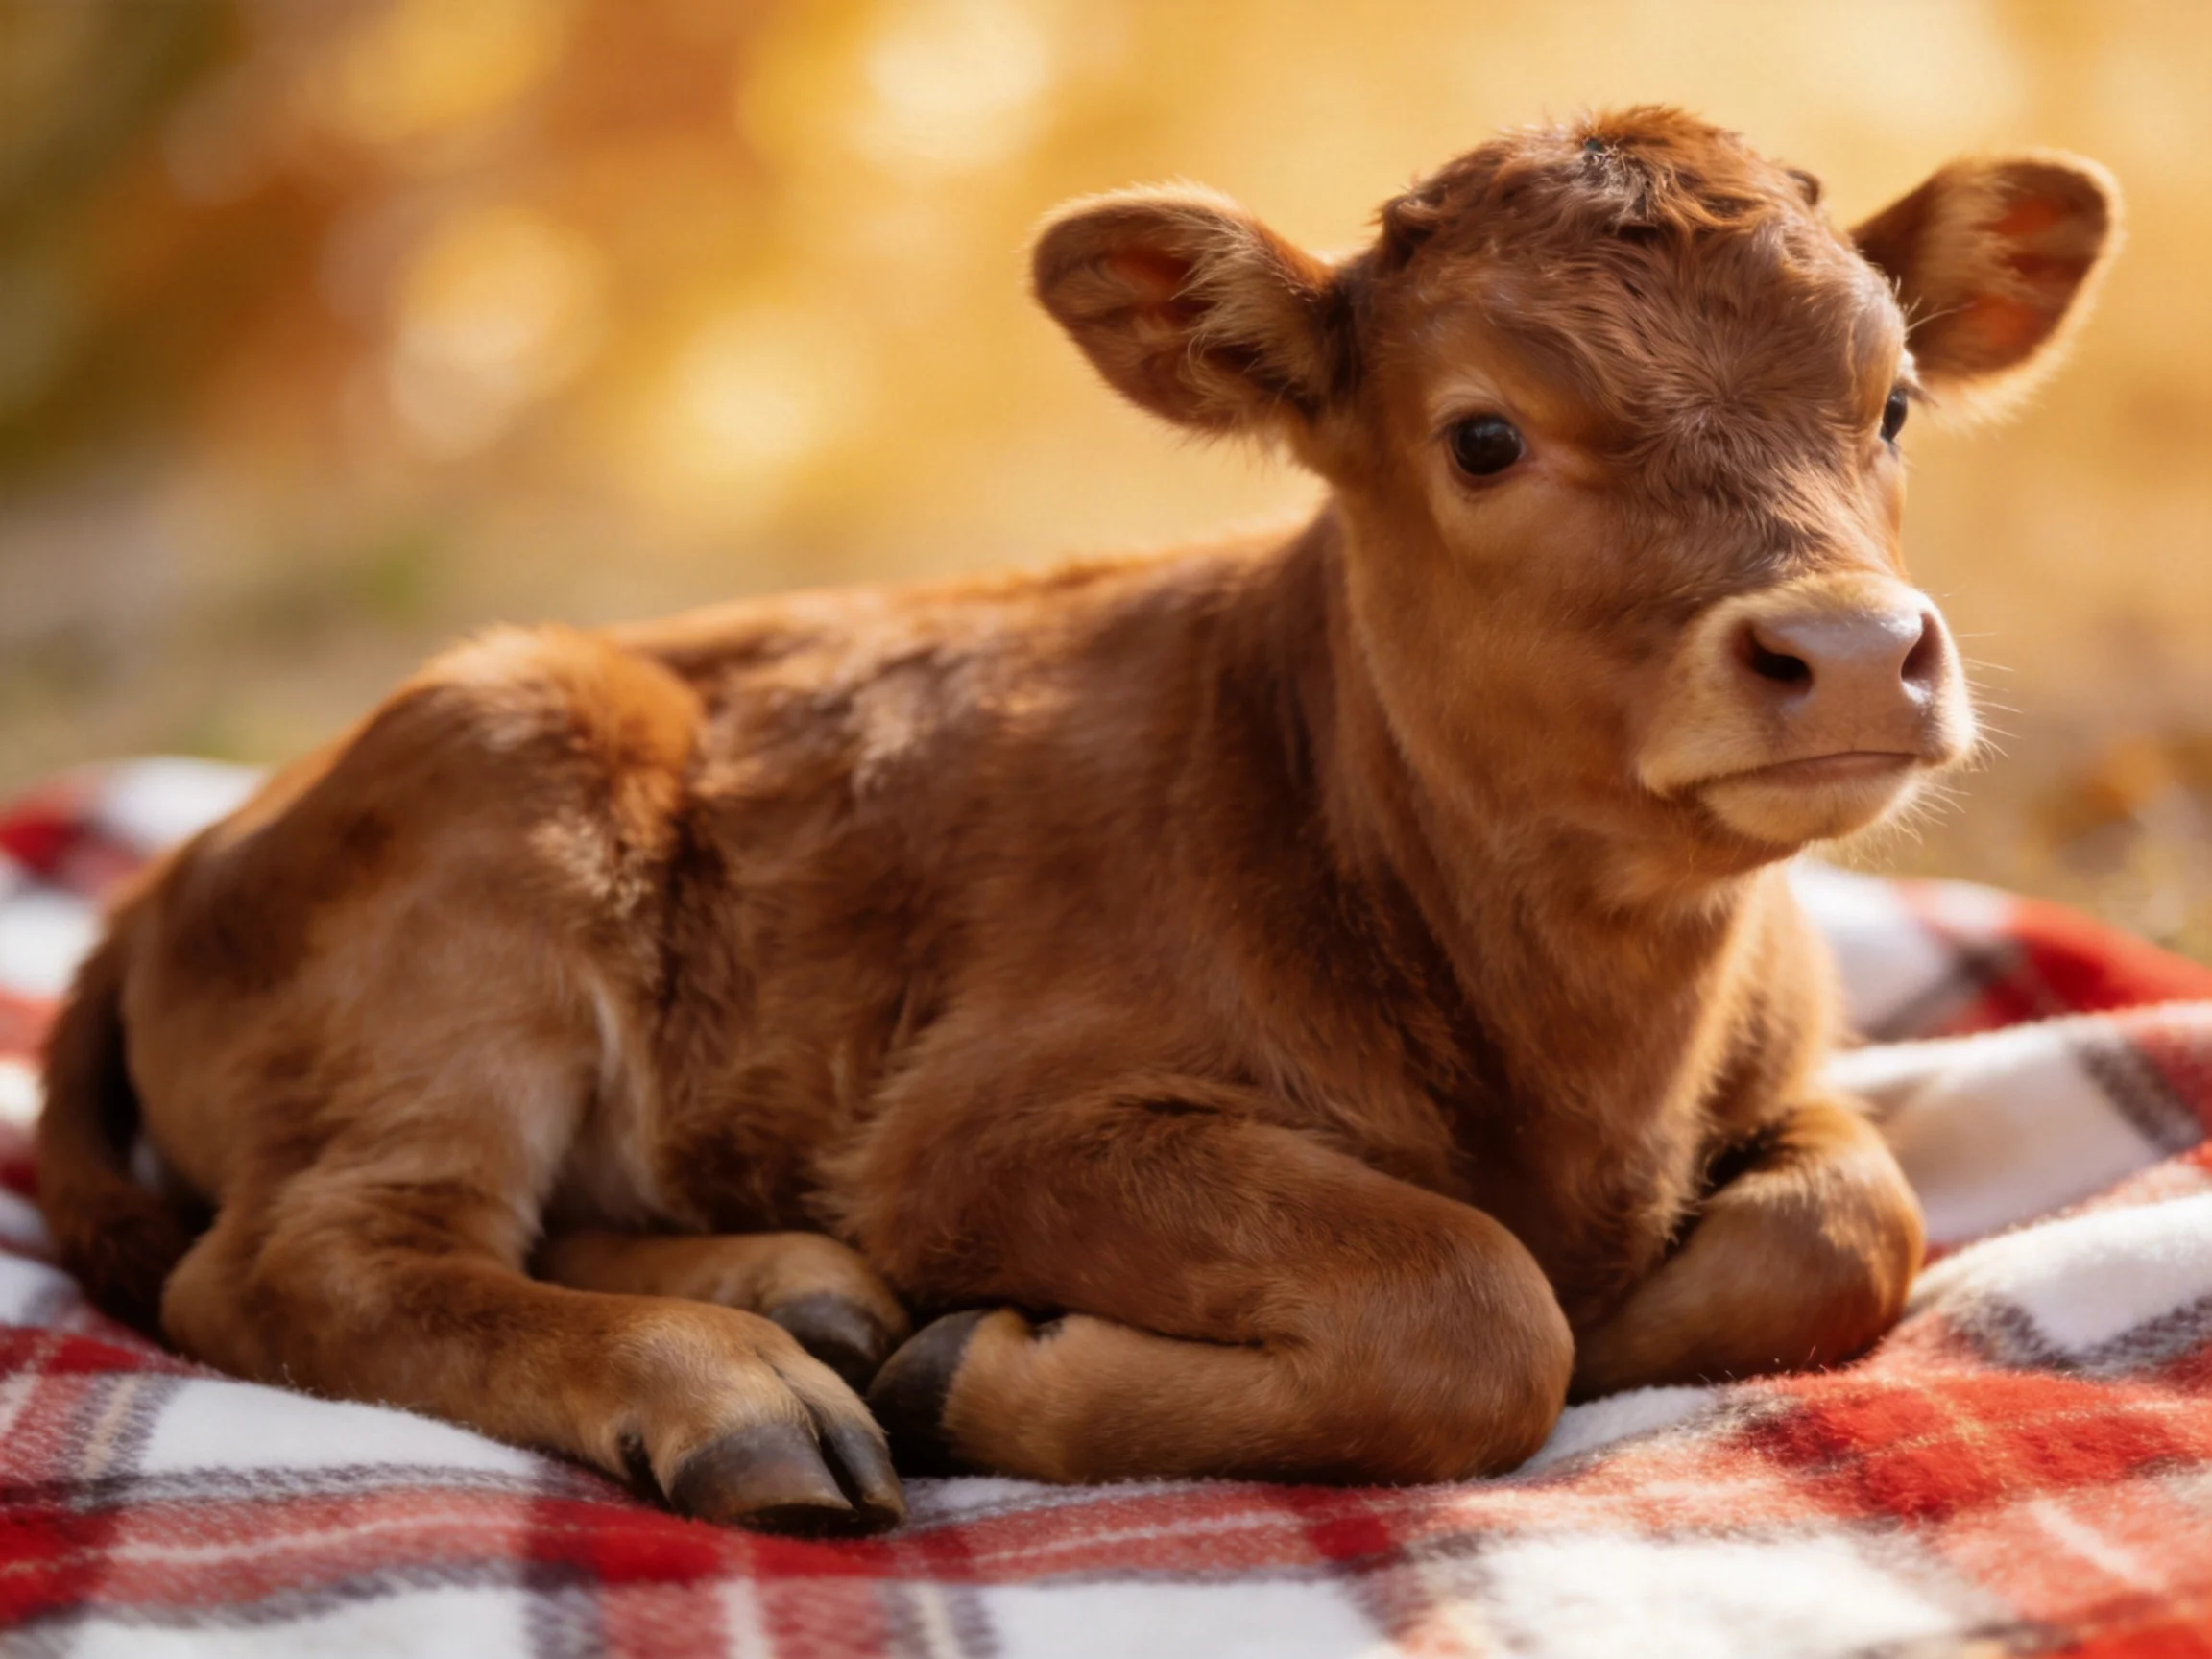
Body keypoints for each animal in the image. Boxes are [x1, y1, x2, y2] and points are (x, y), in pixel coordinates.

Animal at [37, 108, 2116, 1537]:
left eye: (1894, 401)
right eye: (1484, 433)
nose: (1845, 651)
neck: (1581, 1049)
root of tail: (189, 861)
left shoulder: (1794, 1077)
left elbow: (1846, 1224)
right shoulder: (980, 1131)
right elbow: (1475, 1301)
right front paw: (988, 1360)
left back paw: (789, 1289)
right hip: (492, 800)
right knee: (309, 1259)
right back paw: (737, 1383)